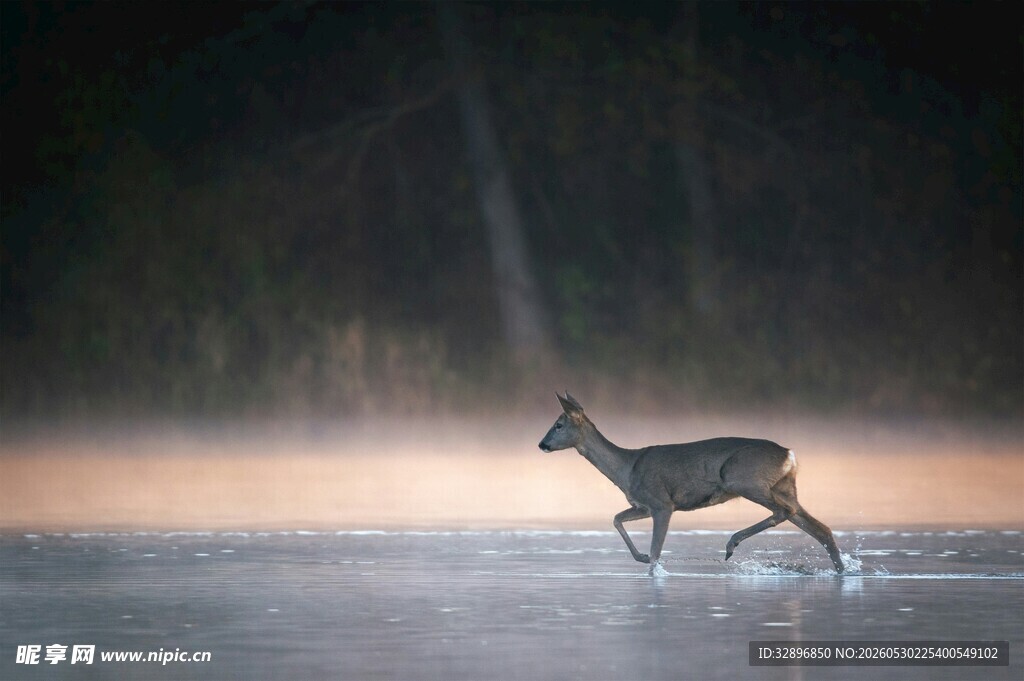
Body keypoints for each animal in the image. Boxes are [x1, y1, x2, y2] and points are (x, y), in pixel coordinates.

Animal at [538, 393, 844, 572]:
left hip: (745, 479)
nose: (542, 444)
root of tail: (789, 454)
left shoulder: (662, 503)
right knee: (822, 529)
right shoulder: (643, 505)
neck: (627, 469)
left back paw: (731, 544)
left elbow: (657, 552)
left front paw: (651, 565)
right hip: (785, 487)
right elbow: (616, 518)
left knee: (784, 512)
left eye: (558, 425)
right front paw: (641, 557)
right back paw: (841, 570)